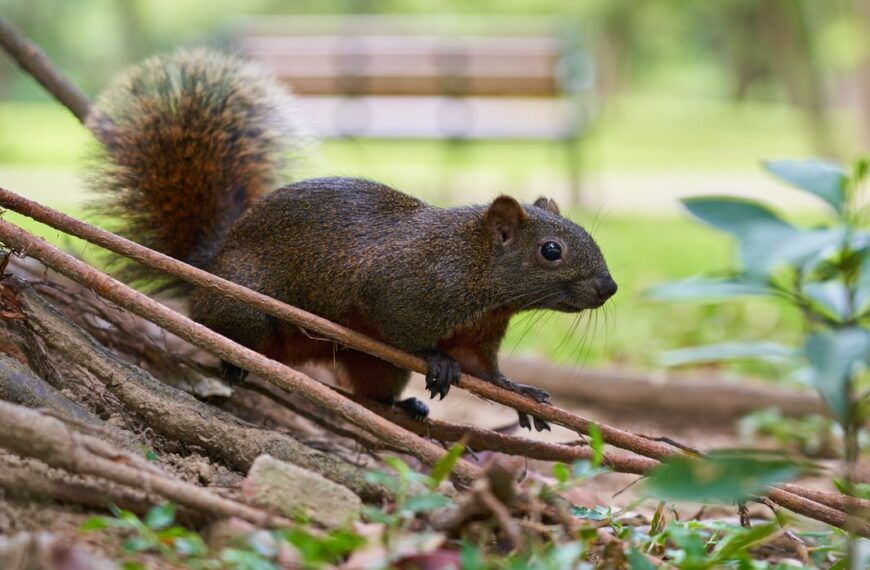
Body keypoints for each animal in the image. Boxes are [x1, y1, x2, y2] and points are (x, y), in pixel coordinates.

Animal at [87, 50, 620, 430]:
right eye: (551, 251)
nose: (609, 288)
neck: (475, 267)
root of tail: (207, 266)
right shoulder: (403, 287)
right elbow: (401, 328)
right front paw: (437, 361)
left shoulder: (477, 333)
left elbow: (486, 373)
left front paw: (521, 393)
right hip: (243, 308)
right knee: (228, 332)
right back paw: (234, 364)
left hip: (372, 364)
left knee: (371, 389)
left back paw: (403, 408)